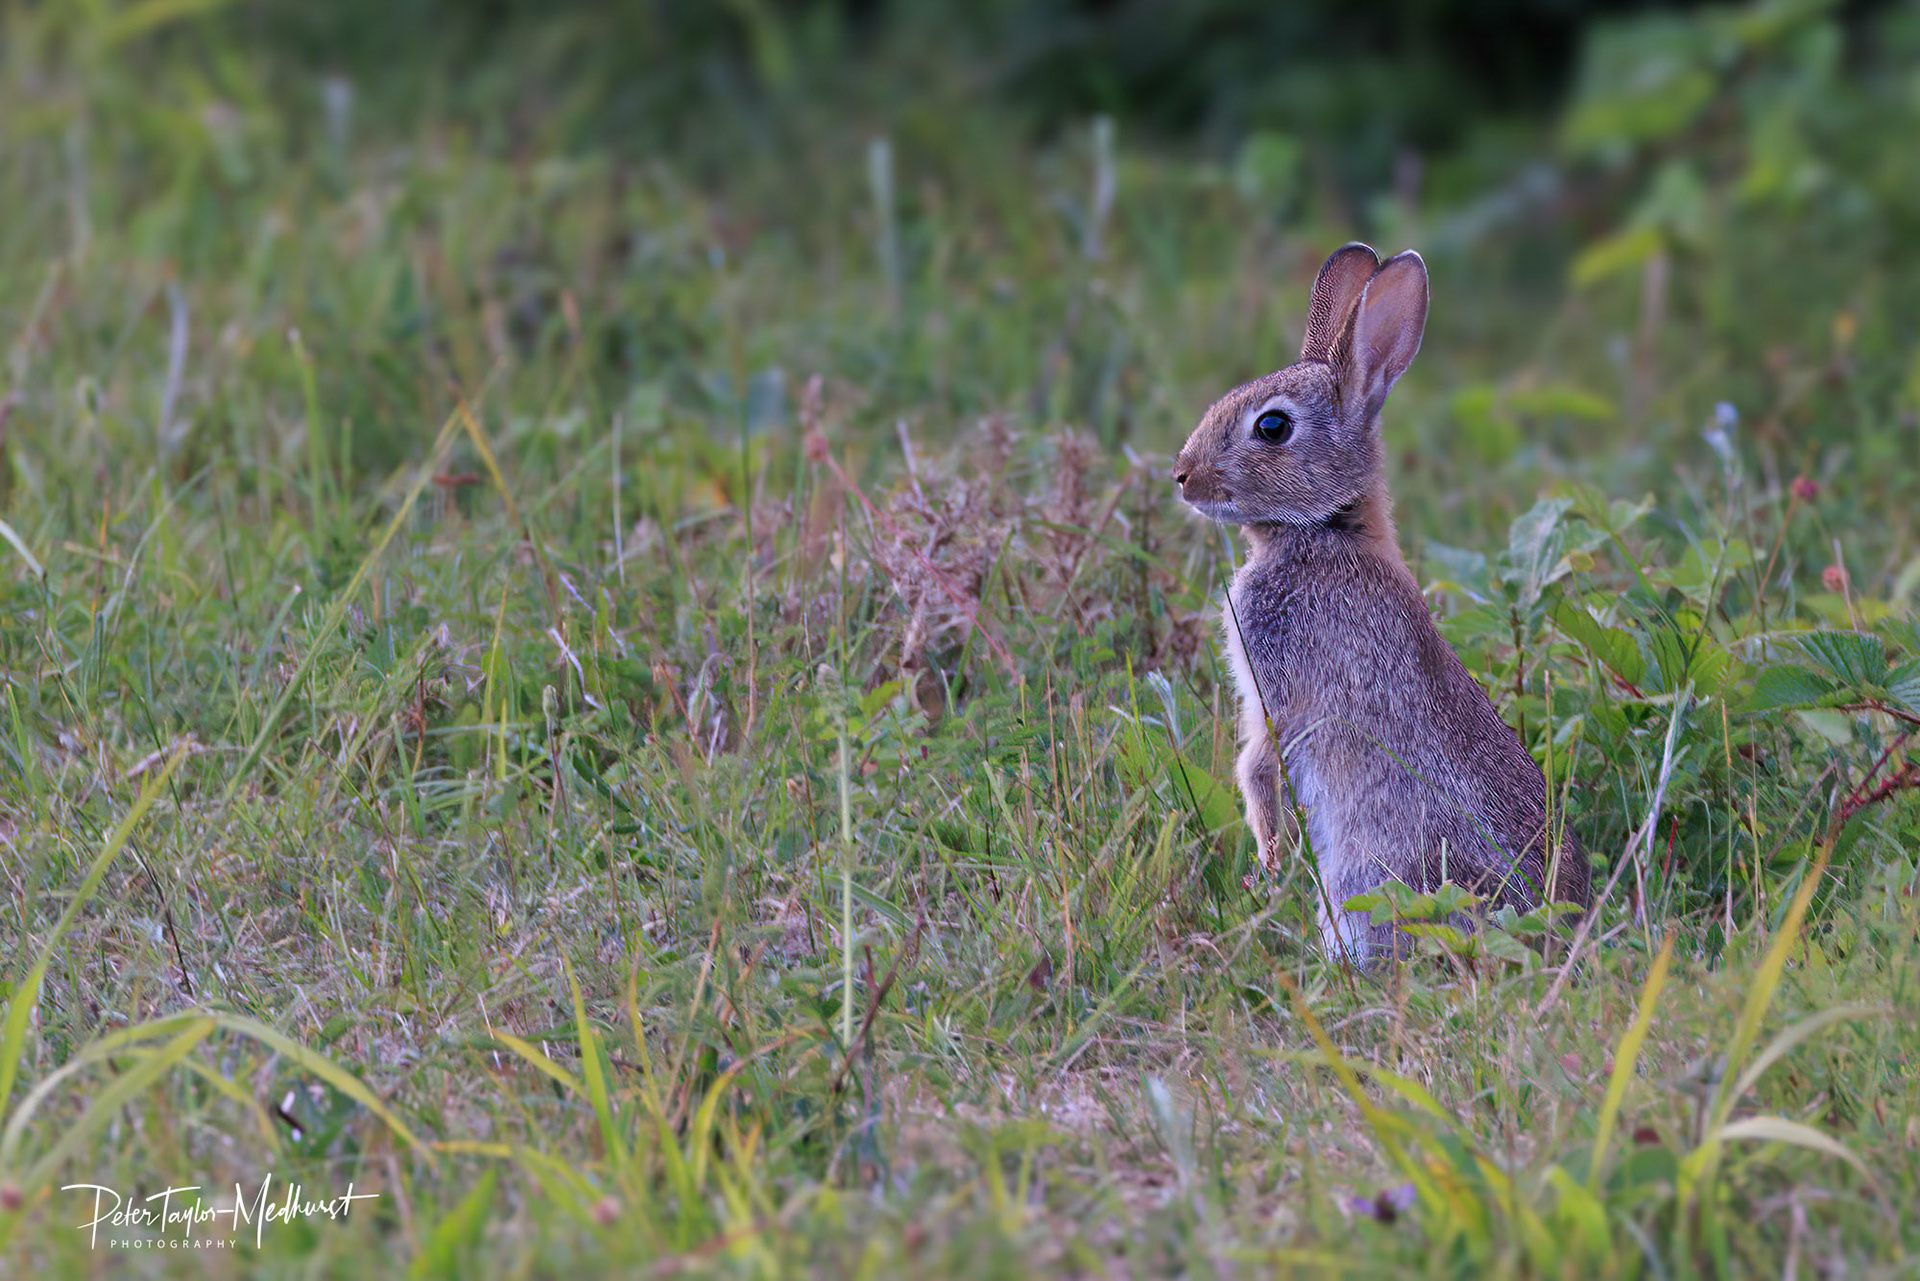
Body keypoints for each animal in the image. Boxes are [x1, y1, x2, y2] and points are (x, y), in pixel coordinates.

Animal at [1172, 243, 1590, 965]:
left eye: (1272, 426)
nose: (1183, 474)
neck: (1326, 528)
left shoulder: (1279, 690)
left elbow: (1257, 765)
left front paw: (1268, 859)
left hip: (1364, 874)